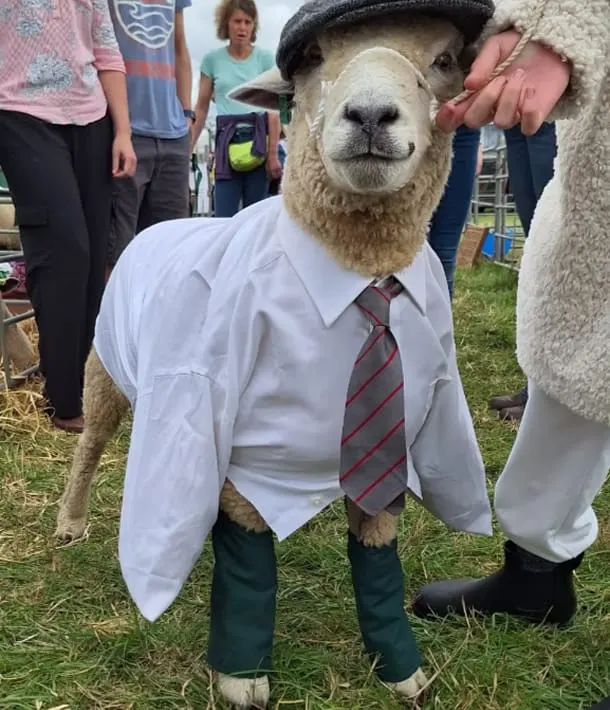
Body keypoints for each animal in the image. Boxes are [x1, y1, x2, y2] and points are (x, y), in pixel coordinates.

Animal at [56, 1, 494, 706]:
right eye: (313, 58)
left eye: (447, 59)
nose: (369, 116)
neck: (359, 271)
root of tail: (162, 221)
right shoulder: (243, 447)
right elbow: (247, 560)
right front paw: (240, 674)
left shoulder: (394, 444)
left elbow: (378, 556)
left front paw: (400, 666)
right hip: (104, 372)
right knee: (91, 445)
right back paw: (70, 521)